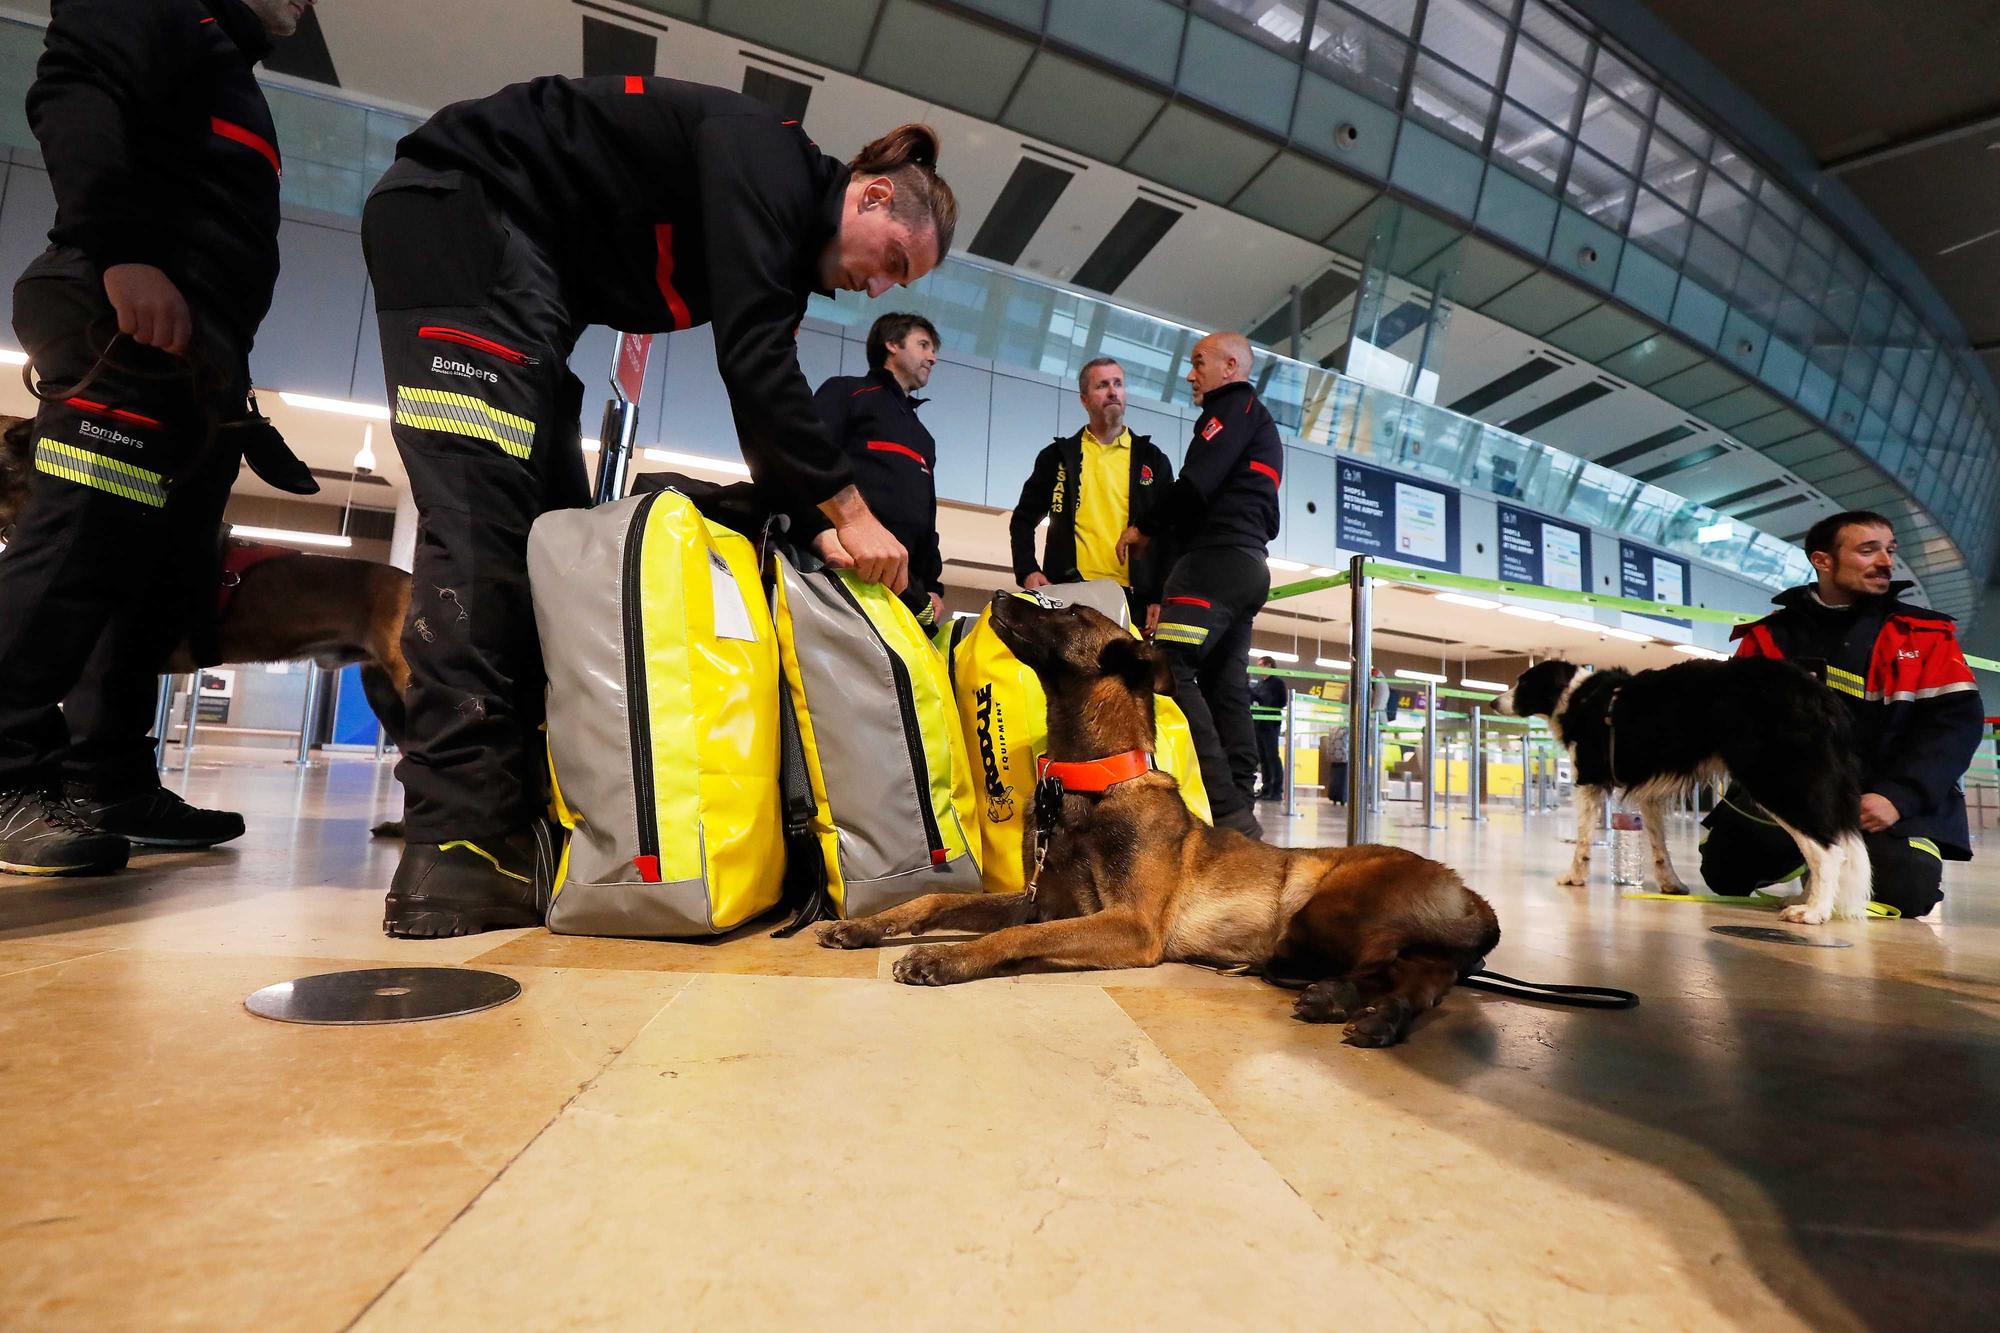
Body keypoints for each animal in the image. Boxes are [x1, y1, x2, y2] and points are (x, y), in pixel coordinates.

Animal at [816, 592, 1504, 1048]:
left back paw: (1340, 997)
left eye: (1066, 611)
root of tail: (1471, 894)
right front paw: (863, 927)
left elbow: (1012, 940)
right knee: (1420, 978)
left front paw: (945, 959)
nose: (994, 596)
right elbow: (933, 900)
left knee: (1384, 965)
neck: (1096, 785)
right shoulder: (1039, 901)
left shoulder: (1130, 926)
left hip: (1322, 910)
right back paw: (1367, 1009)